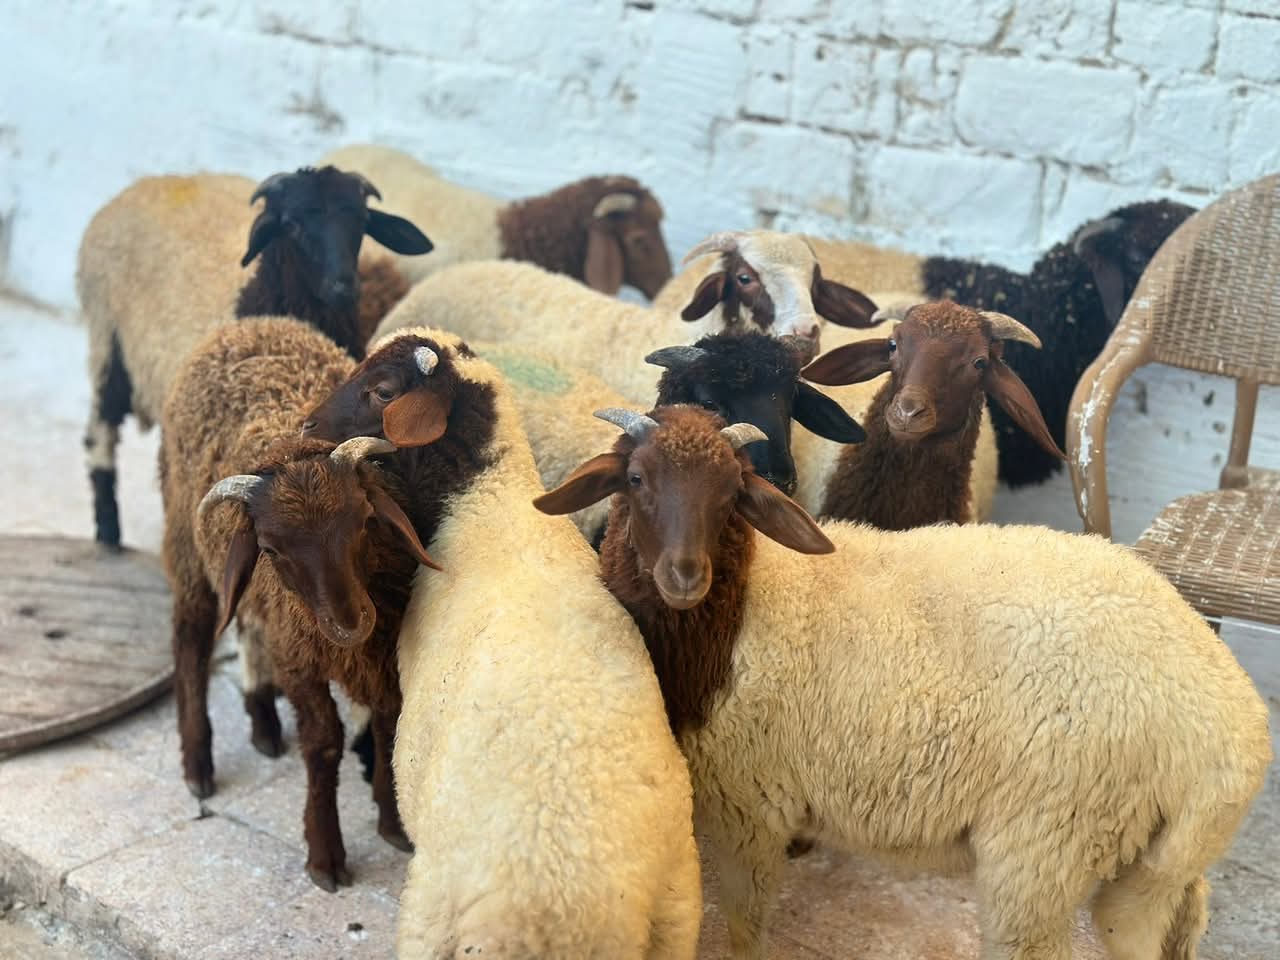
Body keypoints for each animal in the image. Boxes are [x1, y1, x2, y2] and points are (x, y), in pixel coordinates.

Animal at [78, 165, 431, 548]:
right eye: (291, 223)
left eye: (362, 219)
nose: (343, 287)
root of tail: (150, 182)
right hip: (107, 340)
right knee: (101, 430)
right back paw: (108, 530)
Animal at [161, 316, 440, 890]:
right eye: (269, 548)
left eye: (365, 520)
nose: (349, 624)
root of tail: (246, 326)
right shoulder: (300, 658)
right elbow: (324, 741)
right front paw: (324, 855)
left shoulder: (386, 647)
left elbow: (386, 723)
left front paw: (391, 823)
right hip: (188, 546)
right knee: (191, 641)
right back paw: (197, 765)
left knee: (247, 626)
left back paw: (263, 722)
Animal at [302, 326, 702, 958]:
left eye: (383, 390)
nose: (307, 427)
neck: (487, 499)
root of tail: (573, 913)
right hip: (677, 914)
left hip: (431, 911)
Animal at [536, 403, 1272, 960]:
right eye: (635, 477)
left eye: (733, 495)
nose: (684, 575)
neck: (743, 605)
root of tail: (1237, 731)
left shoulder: (749, 806)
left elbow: (744, 928)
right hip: (1146, 866)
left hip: (1046, 844)